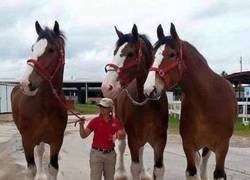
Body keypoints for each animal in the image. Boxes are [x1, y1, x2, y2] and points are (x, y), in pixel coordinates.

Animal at [11, 20, 67, 179]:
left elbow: (53, 168)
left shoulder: (57, 141)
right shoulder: (27, 141)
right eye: (32, 48)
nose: (25, 83)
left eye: (51, 50)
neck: (46, 106)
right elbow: (31, 170)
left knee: (41, 151)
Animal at [100, 24, 169, 180]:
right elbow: (134, 167)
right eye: (115, 52)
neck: (149, 103)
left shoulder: (160, 141)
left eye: (130, 53)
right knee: (121, 146)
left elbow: (159, 169)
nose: (107, 87)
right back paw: (120, 172)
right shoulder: (133, 139)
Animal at [144, 23, 237, 179]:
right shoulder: (188, 145)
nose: (149, 89)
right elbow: (192, 171)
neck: (207, 100)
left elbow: (218, 173)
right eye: (153, 55)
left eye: (172, 54)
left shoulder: (222, 146)